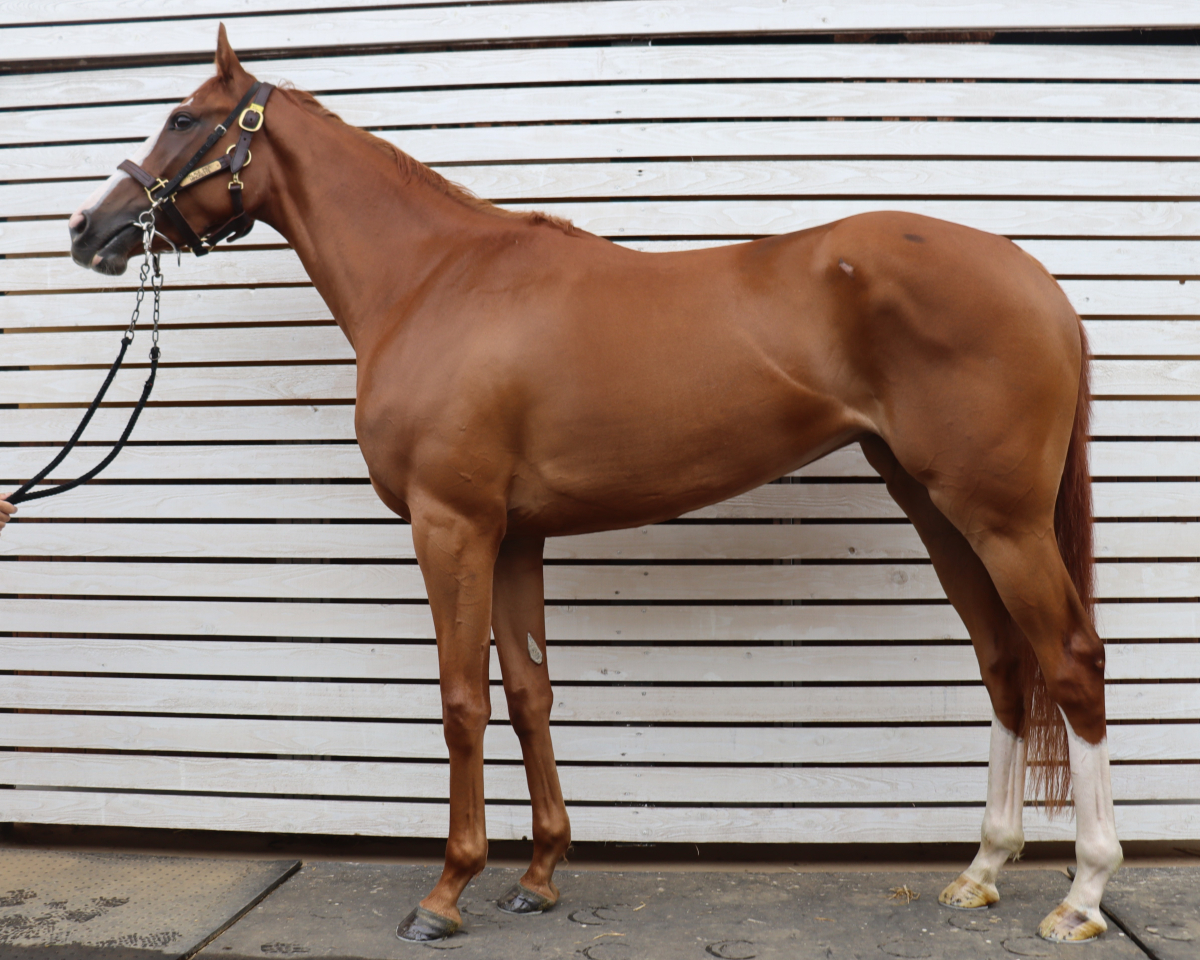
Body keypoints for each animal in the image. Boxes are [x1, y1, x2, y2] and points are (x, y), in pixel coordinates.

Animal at [66, 26, 1122, 944]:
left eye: (182, 118)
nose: (91, 229)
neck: (434, 281)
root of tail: (1038, 281)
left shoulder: (451, 526)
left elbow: (462, 699)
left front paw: (446, 893)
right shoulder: (514, 535)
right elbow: (530, 693)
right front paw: (537, 877)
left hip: (1002, 519)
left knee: (1071, 661)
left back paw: (1081, 895)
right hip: (940, 509)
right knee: (1006, 664)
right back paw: (982, 870)